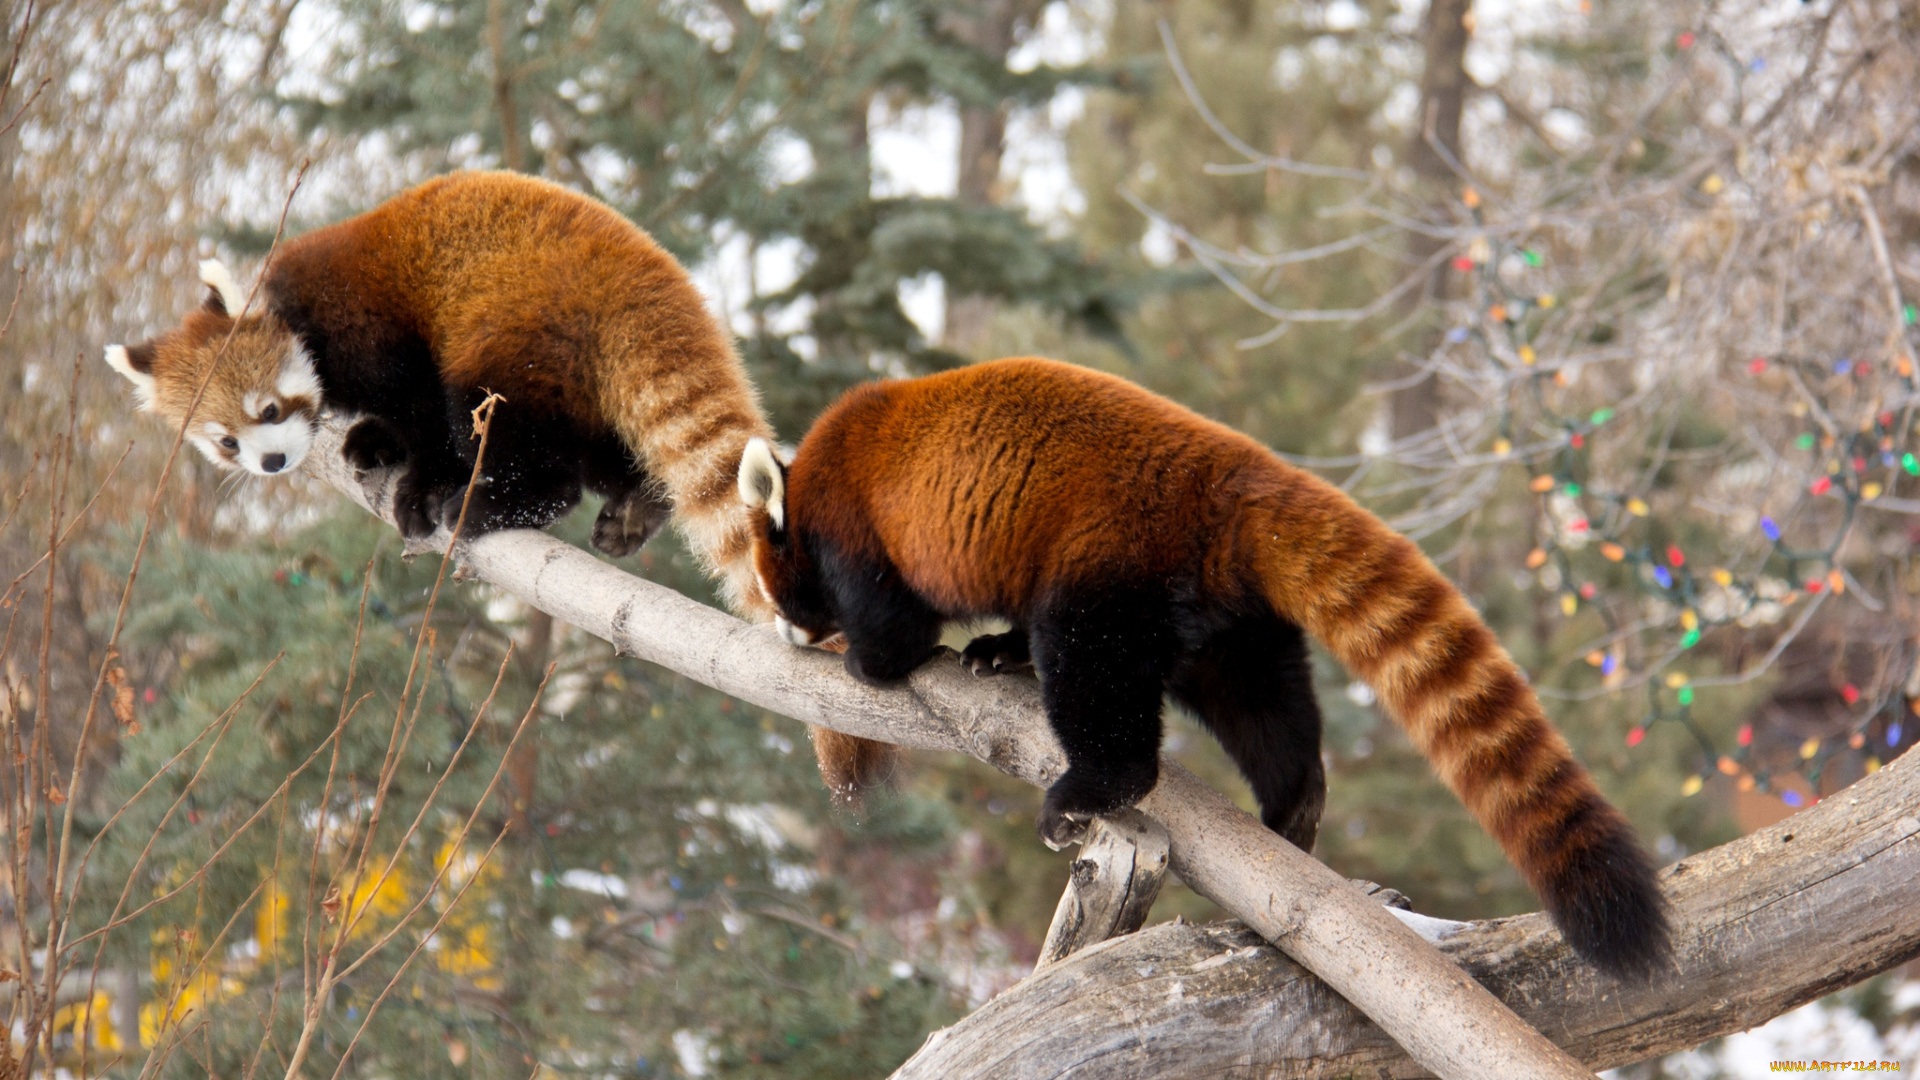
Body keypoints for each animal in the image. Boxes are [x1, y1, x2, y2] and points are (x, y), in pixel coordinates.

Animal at [101, 170, 887, 791]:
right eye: (226, 441)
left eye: (268, 409)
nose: (270, 462)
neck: (293, 301)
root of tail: (643, 272)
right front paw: (370, 441)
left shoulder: (368, 323)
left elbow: (420, 407)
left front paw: (419, 483)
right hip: (582, 374)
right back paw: (634, 508)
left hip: (518, 327)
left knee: (513, 436)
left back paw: (484, 503)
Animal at [741, 353, 1674, 976]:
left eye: (776, 587)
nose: (786, 630)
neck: (815, 470)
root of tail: (1236, 472)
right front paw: (984, 649)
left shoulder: (856, 528)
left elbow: (893, 627)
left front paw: (869, 662)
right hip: (1227, 616)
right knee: (1266, 710)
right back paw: (1293, 803)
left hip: (1112, 566)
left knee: (1098, 681)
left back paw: (1089, 787)